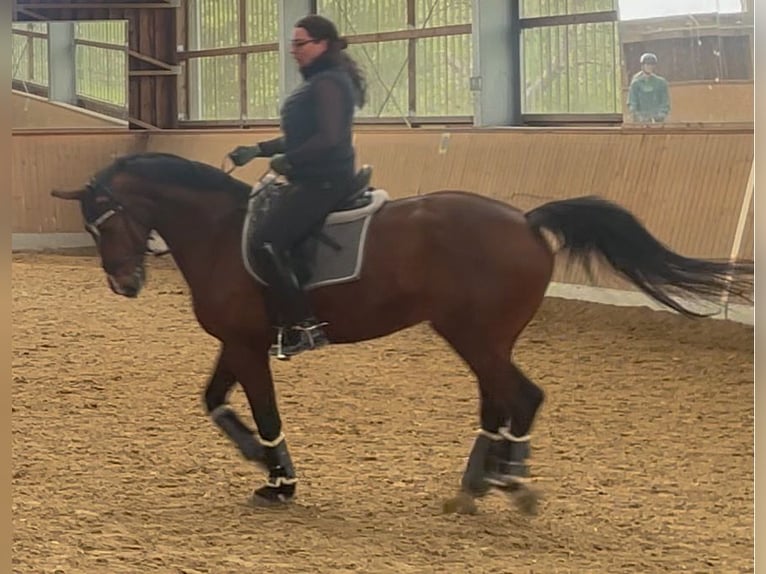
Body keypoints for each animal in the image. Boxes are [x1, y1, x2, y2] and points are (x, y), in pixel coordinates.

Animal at [52, 152, 756, 512]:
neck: (222, 233)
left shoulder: (251, 347)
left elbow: (262, 410)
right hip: (478, 336)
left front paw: (279, 480)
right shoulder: (236, 343)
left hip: (476, 335)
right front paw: (258, 460)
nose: (124, 284)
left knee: (521, 397)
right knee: (500, 399)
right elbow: (214, 402)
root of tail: (526, 222)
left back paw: (510, 482)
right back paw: (477, 484)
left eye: (104, 219)